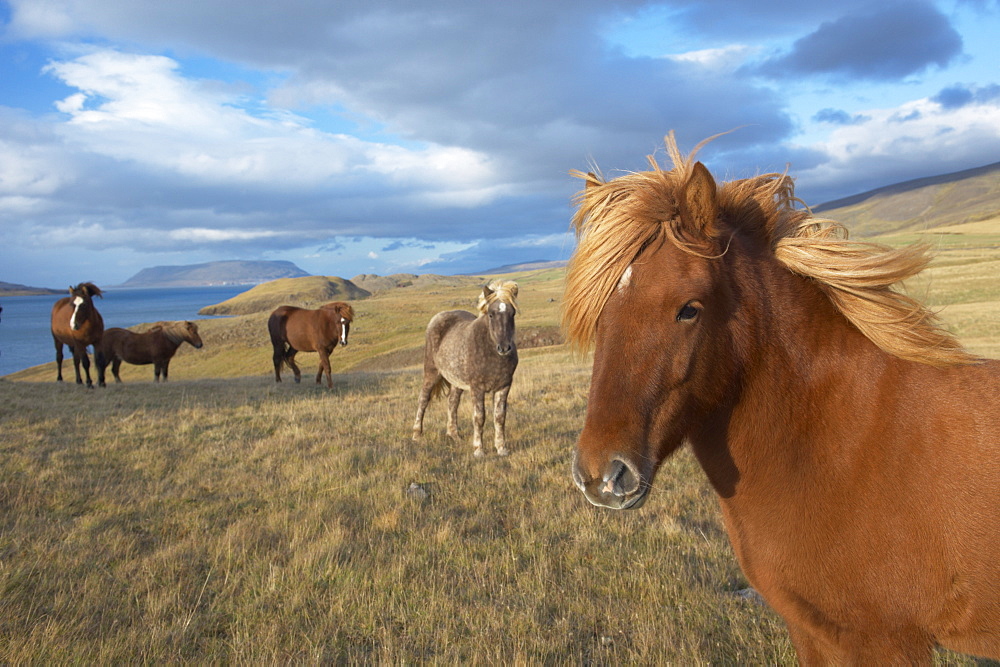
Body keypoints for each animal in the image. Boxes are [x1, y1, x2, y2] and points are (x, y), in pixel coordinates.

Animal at [414, 280, 524, 456]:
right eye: (491, 314)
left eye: (512, 313)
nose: (504, 348)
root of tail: (438, 317)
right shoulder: (477, 388)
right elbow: (479, 417)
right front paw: (479, 449)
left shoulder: (504, 386)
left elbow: (500, 417)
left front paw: (501, 448)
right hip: (431, 372)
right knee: (423, 400)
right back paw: (417, 434)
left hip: (456, 382)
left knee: (452, 403)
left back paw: (454, 435)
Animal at [564, 133, 1000, 664]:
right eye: (600, 312)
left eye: (689, 309)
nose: (600, 475)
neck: (841, 443)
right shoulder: (812, 631)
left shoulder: (887, 642)